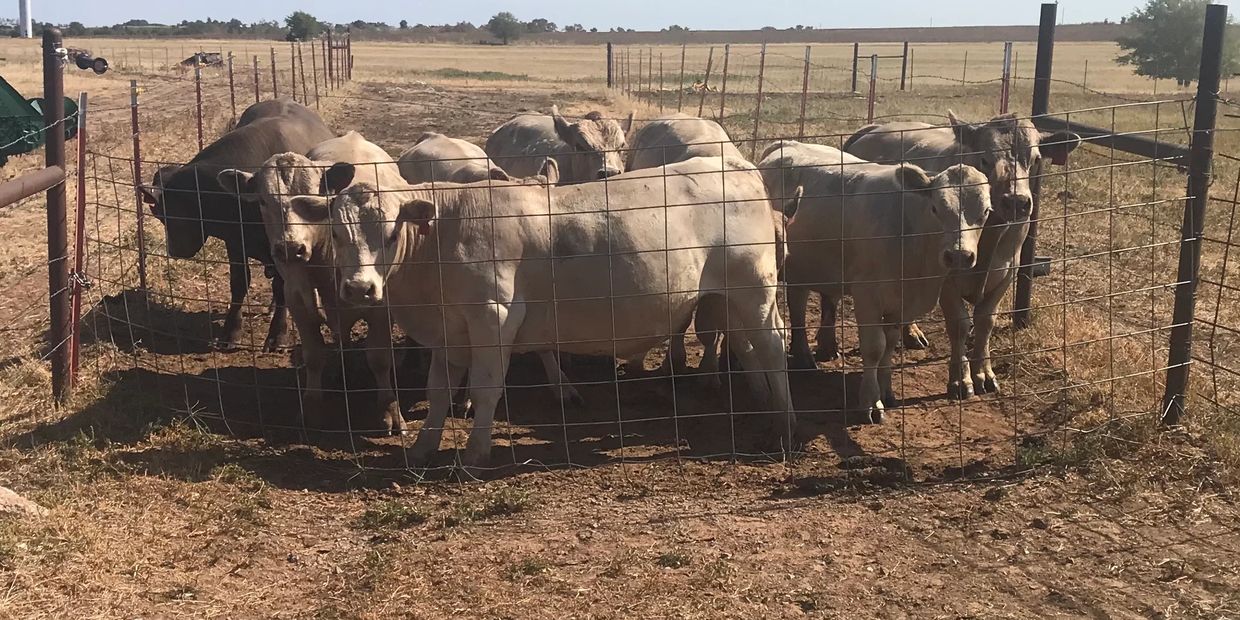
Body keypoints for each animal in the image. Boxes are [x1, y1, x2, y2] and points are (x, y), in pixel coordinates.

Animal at [140, 98, 334, 351]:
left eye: (172, 213)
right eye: (160, 214)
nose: (174, 250)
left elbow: (281, 287)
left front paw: (278, 334)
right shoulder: (234, 242)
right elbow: (239, 283)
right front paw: (231, 332)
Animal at [322, 155, 792, 470]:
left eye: (390, 231)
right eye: (336, 234)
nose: (359, 288)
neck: (441, 236)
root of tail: (735, 164)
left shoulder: (492, 317)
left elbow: (485, 388)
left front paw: (475, 453)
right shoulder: (448, 329)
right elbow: (438, 390)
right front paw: (422, 448)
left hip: (755, 290)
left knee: (772, 345)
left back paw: (785, 422)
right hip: (725, 299)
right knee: (746, 346)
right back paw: (764, 404)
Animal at [781, 145, 991, 423]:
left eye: (986, 211)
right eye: (935, 208)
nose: (958, 255)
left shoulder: (901, 303)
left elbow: (890, 344)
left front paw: (887, 391)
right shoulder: (866, 294)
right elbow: (874, 347)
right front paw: (870, 402)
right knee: (797, 305)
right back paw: (804, 356)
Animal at [844, 112, 1079, 397]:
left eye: (1035, 159)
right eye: (984, 158)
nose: (1017, 202)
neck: (989, 235)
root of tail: (875, 127)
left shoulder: (1008, 271)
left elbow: (985, 321)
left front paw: (984, 373)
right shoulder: (945, 278)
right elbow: (959, 324)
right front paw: (960, 379)